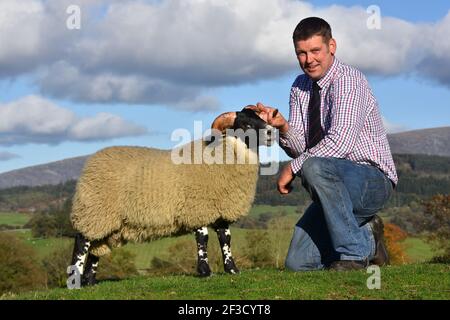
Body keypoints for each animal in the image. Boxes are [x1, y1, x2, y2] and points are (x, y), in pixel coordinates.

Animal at [67, 106, 278, 286]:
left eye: (260, 118)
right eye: (245, 124)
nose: (271, 132)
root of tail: (93, 161)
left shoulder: (220, 210)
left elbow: (225, 239)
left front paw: (232, 269)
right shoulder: (197, 207)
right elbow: (203, 239)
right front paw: (205, 271)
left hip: (108, 221)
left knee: (96, 249)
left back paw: (90, 282)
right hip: (94, 210)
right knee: (82, 243)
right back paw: (75, 282)